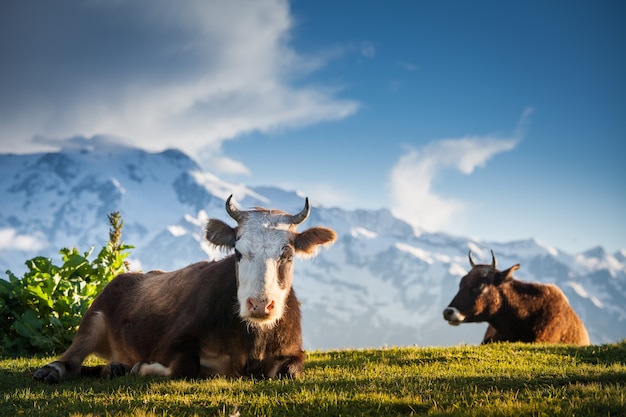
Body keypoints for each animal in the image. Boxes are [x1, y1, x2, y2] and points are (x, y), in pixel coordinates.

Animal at [34, 193, 336, 382]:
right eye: (238, 252)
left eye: (288, 255)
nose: (260, 304)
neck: (252, 341)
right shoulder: (173, 341)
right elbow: (185, 367)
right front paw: (143, 367)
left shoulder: (292, 349)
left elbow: (290, 371)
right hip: (93, 317)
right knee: (72, 359)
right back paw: (52, 371)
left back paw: (115, 367)